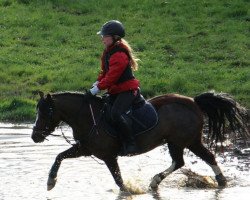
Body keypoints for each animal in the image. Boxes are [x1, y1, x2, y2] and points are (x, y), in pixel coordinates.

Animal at [30, 90, 248, 191]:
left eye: (46, 112)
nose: (35, 136)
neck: (88, 116)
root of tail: (194, 102)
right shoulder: (85, 149)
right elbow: (59, 156)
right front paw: (51, 181)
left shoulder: (108, 156)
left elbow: (118, 180)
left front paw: (128, 192)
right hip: (188, 141)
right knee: (196, 159)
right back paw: (220, 181)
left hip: (181, 141)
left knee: (184, 160)